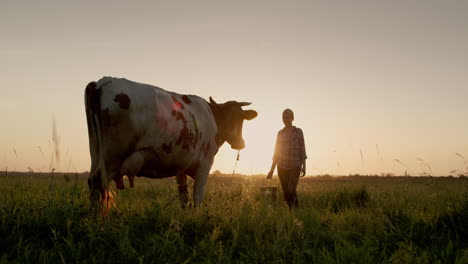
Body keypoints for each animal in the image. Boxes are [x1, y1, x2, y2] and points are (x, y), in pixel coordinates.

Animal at [86, 77, 258, 212]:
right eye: (240, 118)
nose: (240, 143)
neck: (213, 118)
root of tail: (102, 82)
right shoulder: (205, 164)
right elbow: (197, 199)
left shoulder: (181, 166)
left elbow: (184, 198)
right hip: (112, 158)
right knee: (99, 183)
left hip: (96, 153)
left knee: (93, 184)